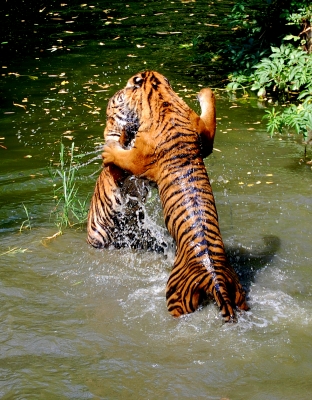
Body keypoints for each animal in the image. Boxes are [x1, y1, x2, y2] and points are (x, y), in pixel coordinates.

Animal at [102, 71, 249, 322]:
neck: (160, 94)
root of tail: (215, 278)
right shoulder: (204, 134)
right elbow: (210, 108)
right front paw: (203, 91)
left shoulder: (139, 158)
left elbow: (122, 156)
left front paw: (108, 150)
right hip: (238, 292)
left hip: (175, 298)